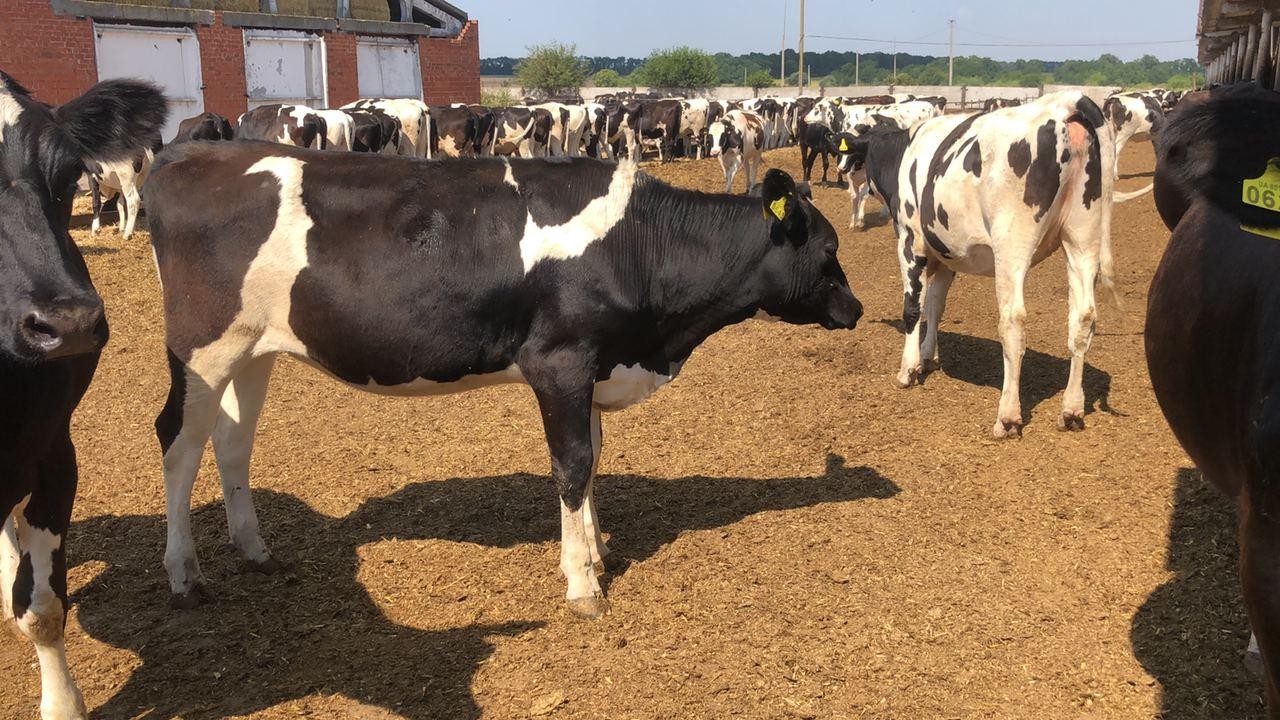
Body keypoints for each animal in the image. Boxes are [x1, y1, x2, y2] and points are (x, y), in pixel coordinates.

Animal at [143, 144, 862, 623]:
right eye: (828, 249)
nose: (855, 309)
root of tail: (189, 156)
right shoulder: (559, 361)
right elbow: (572, 465)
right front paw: (582, 584)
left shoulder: (592, 363)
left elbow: (594, 459)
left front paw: (596, 551)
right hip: (203, 346)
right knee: (178, 441)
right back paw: (185, 576)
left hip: (253, 346)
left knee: (232, 441)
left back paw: (256, 550)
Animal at [834, 92, 1119, 438]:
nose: (842, 169)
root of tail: (1066, 101)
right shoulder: (947, 253)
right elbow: (935, 304)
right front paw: (928, 356)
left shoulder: (910, 241)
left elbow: (913, 307)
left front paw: (908, 369)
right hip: (1082, 237)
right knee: (1083, 318)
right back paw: (1071, 409)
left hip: (1012, 245)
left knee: (1013, 322)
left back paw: (1008, 416)